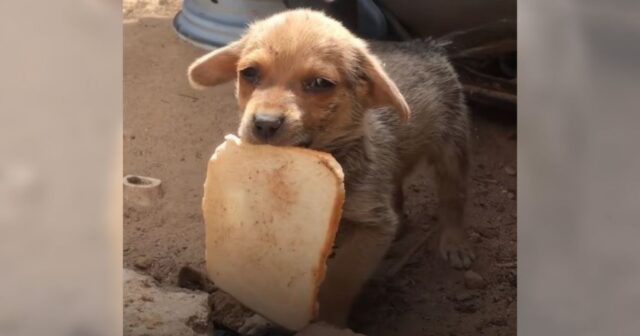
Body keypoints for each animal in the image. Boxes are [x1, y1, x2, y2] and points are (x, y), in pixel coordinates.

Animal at [188, 9, 472, 332]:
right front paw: (262, 318)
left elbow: (340, 281)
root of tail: (426, 45)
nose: (265, 124)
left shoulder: (371, 227)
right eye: (249, 73)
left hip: (452, 147)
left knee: (453, 198)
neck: (333, 154)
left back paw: (454, 242)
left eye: (320, 83)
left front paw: (328, 324)